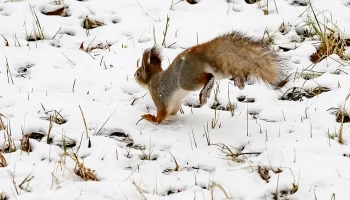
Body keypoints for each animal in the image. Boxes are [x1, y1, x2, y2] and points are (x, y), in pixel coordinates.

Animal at [133, 32, 288, 124]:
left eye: (139, 73)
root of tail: (199, 54)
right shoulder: (174, 102)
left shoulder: (158, 93)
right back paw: (238, 80)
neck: (153, 78)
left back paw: (205, 91)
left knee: (209, 77)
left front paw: (151, 118)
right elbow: (172, 111)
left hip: (187, 79)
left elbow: (162, 114)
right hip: (221, 68)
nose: (134, 76)